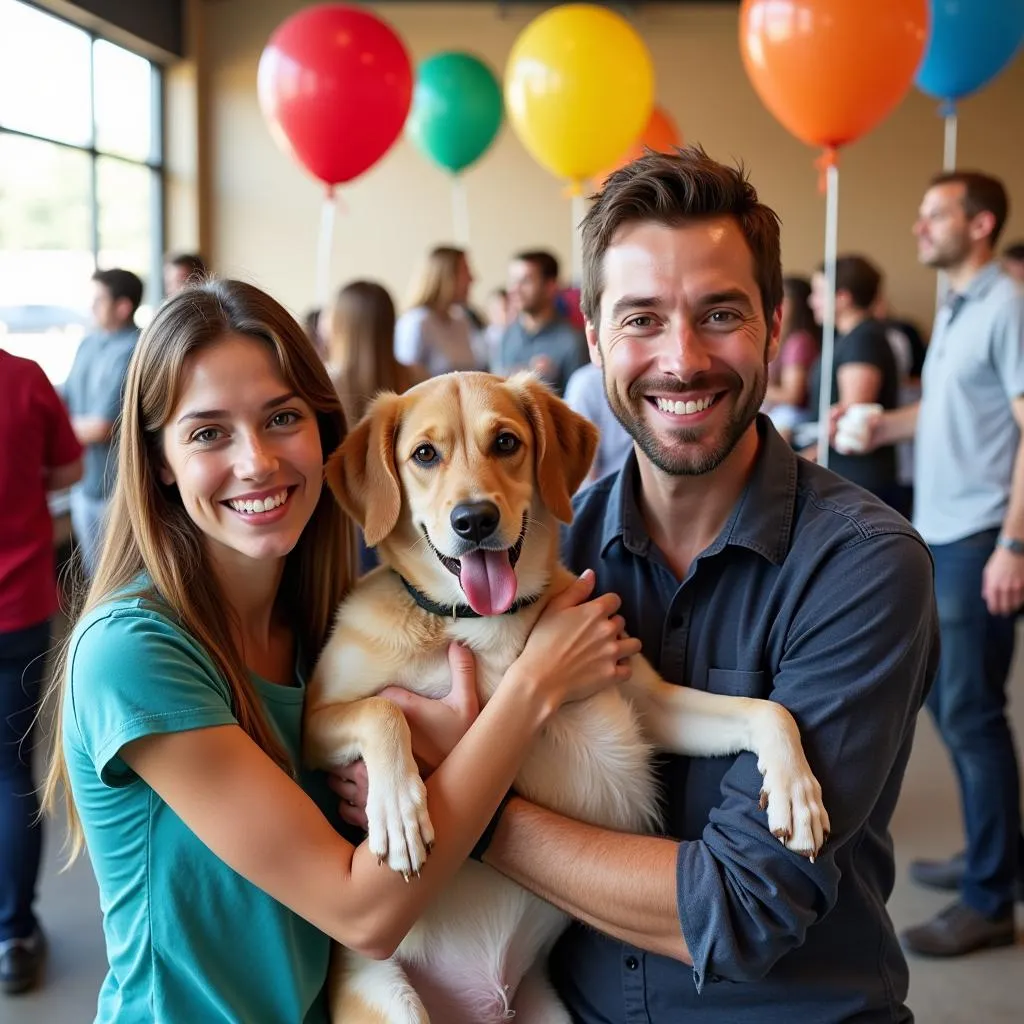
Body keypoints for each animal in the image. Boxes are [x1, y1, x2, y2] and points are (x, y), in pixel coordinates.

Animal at [305, 372, 831, 1019]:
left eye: (506, 442)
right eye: (424, 454)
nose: (474, 520)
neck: (490, 626)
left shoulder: (650, 705)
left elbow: (768, 709)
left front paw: (796, 792)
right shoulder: (314, 721)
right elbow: (381, 710)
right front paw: (399, 811)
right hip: (392, 1002)